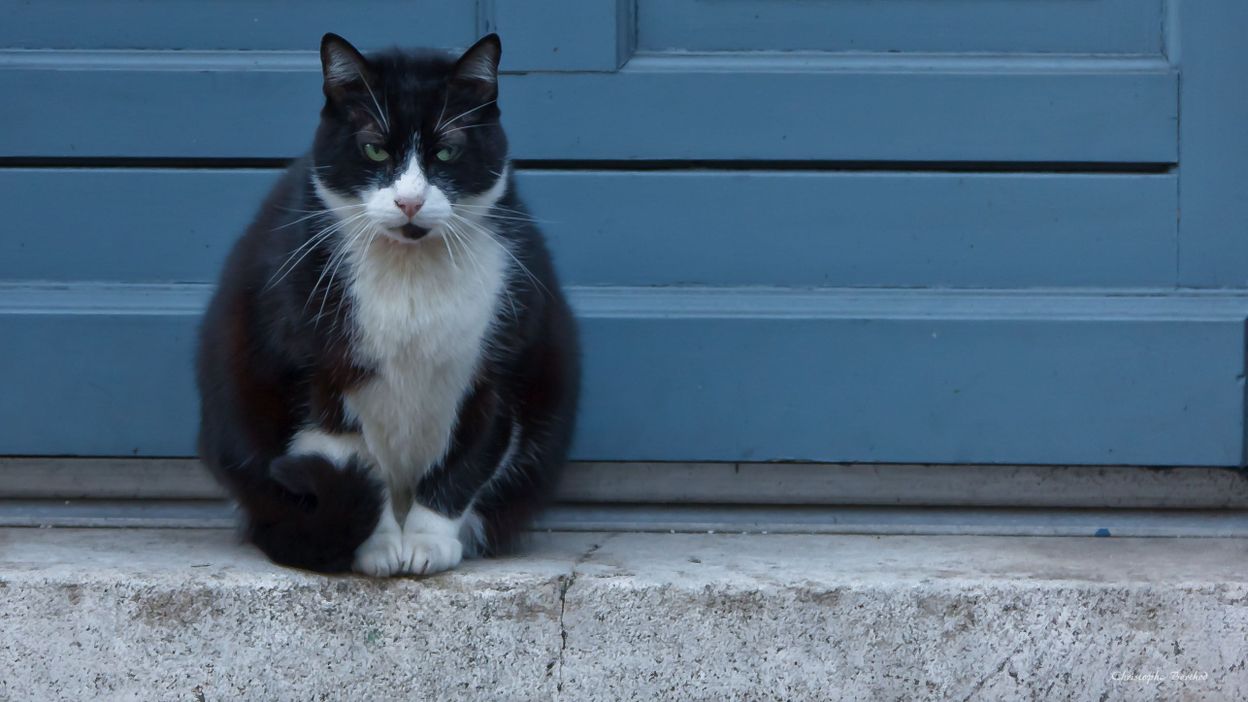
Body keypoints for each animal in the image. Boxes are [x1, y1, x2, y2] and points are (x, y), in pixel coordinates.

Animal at [194, 32, 579, 574]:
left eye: (446, 151)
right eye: (374, 149)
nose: (410, 201)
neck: (409, 272)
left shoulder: (500, 365)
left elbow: (470, 459)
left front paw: (427, 541)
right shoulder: (316, 367)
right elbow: (344, 456)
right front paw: (376, 546)